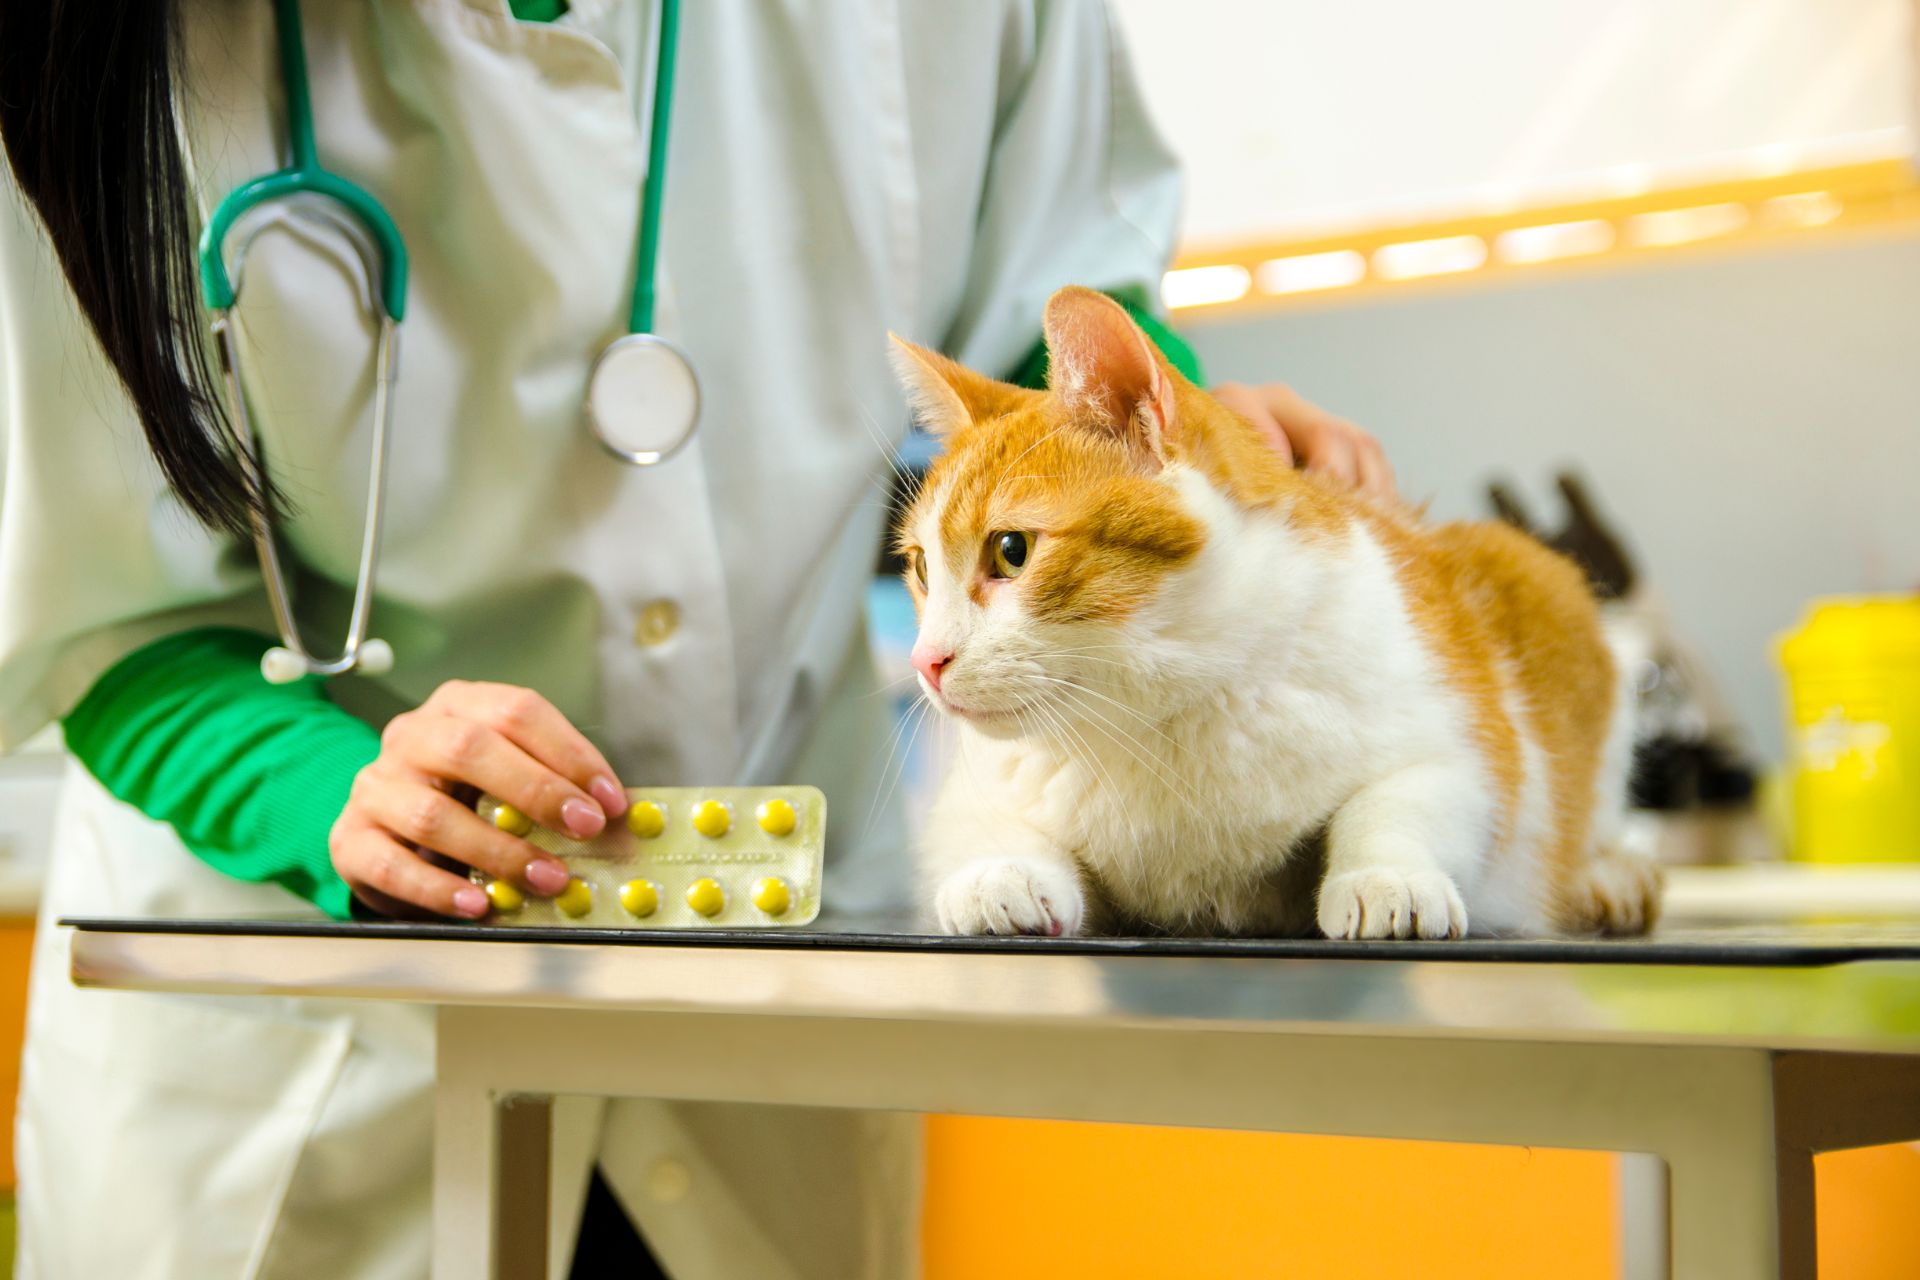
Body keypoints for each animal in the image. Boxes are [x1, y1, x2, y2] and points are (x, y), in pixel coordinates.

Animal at [890, 285, 1658, 940]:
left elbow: (1398, 800)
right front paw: (999, 872)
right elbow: (988, 828)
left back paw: (1605, 881)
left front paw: (1387, 877)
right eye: (923, 567)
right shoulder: (972, 792)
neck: (1157, 716)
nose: (926, 662)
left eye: (1011, 551)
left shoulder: (1468, 747)